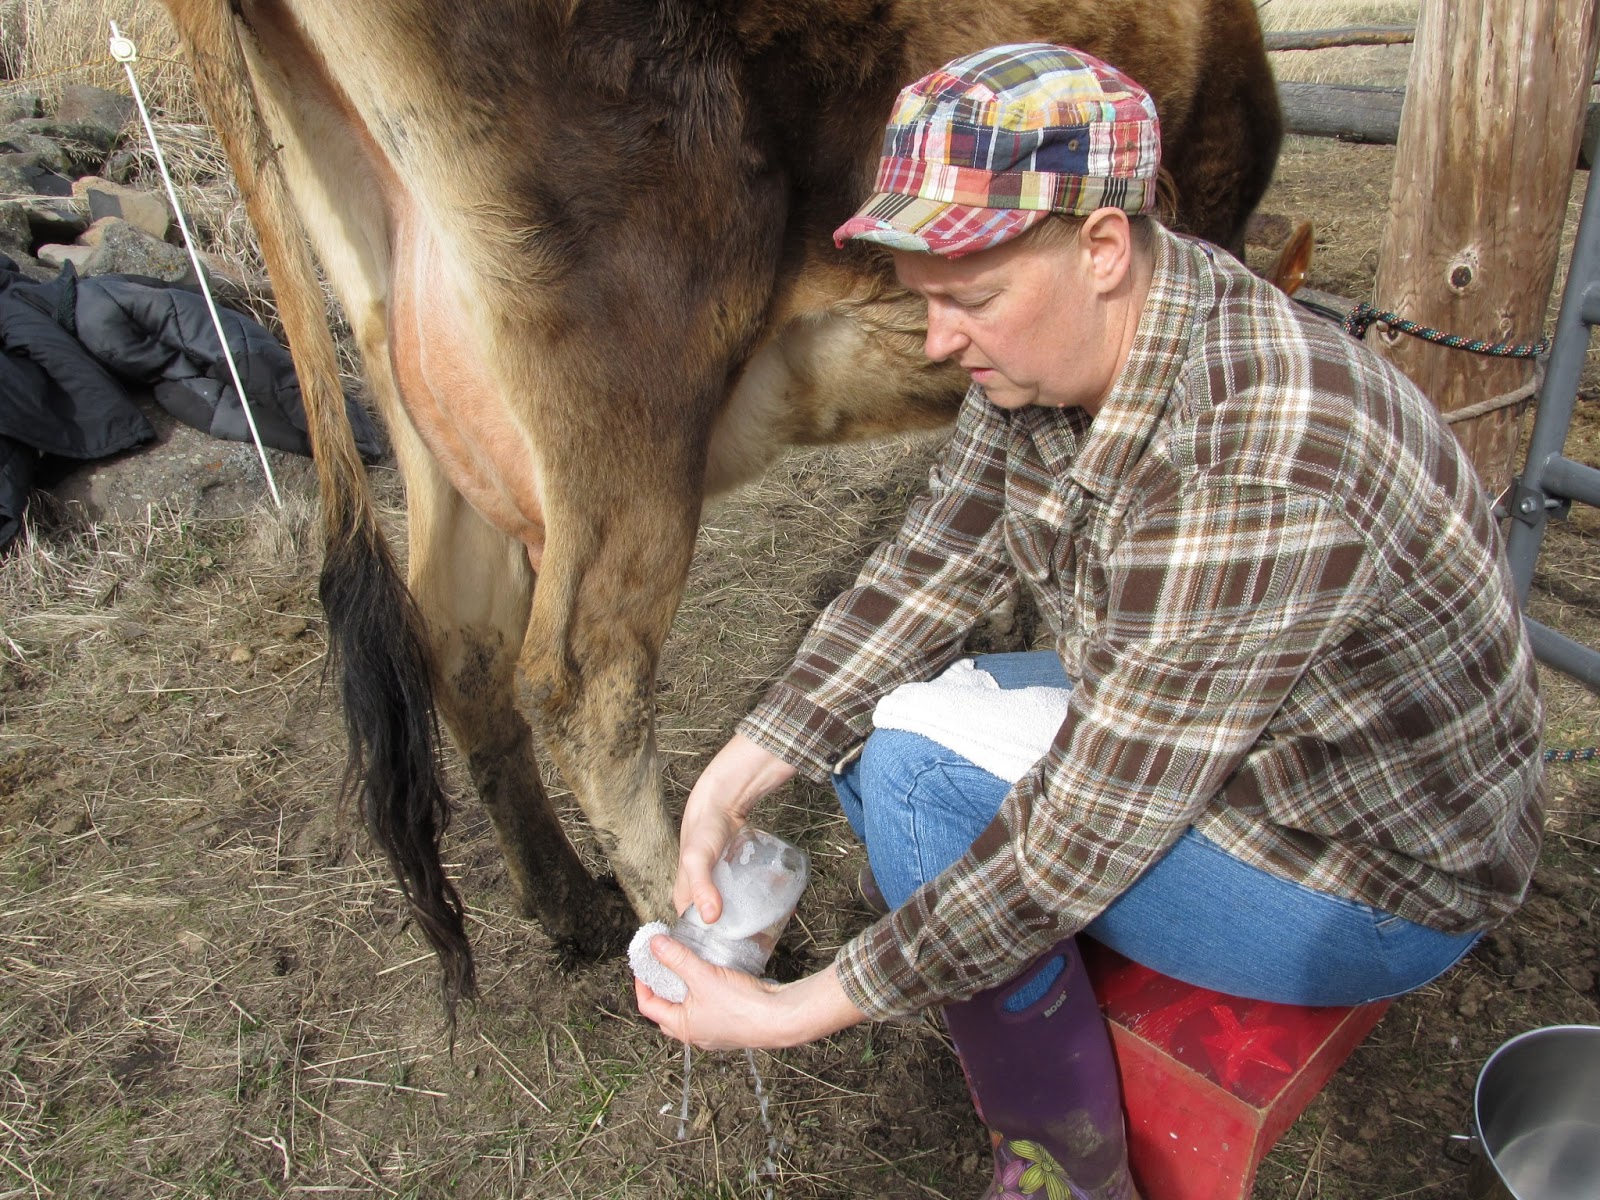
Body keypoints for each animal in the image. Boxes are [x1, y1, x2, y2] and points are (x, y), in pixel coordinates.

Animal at [159, 0, 1282, 1020]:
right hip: (627, 375)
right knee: (584, 679)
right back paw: (701, 949)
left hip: (419, 374)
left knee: (462, 646)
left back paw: (574, 908)